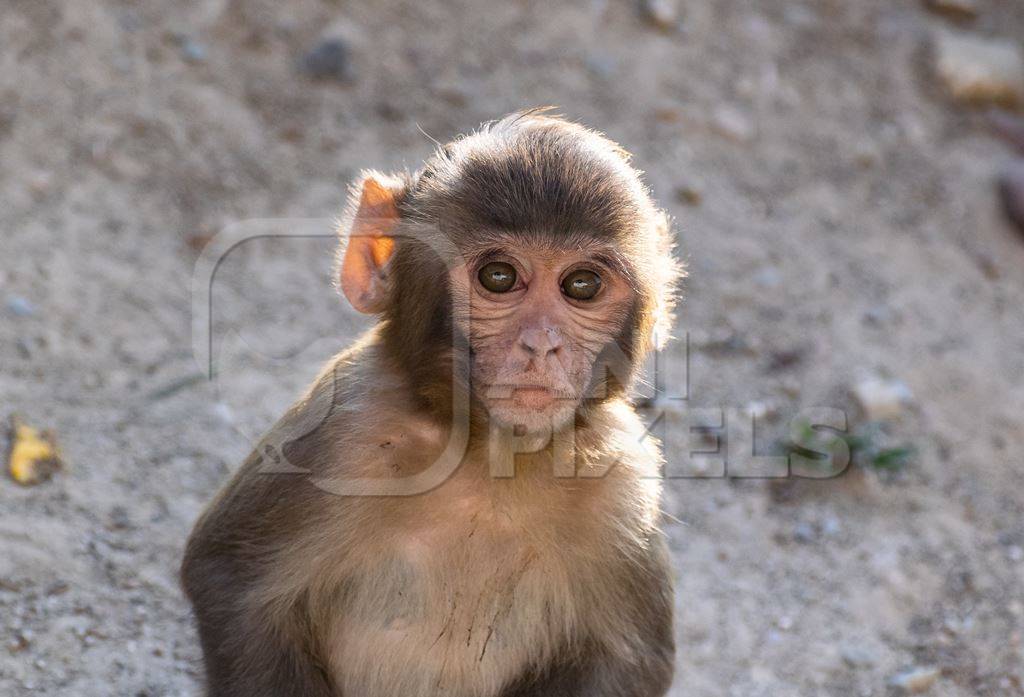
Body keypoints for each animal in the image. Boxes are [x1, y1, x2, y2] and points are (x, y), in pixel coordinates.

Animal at [181, 110, 684, 695]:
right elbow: (234, 584)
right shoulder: (341, 434)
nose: (542, 343)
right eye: (499, 276)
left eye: (582, 284)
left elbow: (628, 656)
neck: (489, 456)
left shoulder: (623, 486)